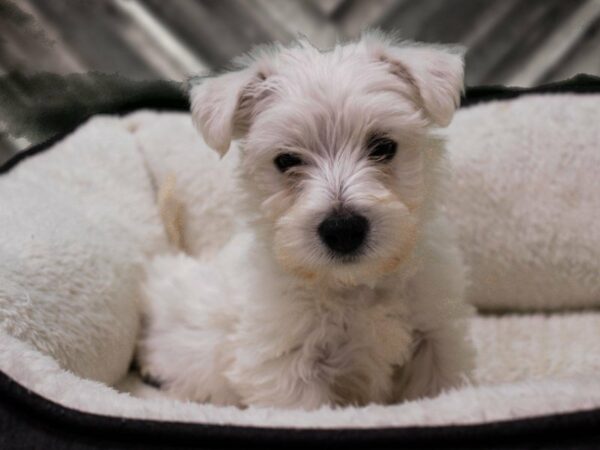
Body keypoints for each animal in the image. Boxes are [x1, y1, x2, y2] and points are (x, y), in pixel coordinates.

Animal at [136, 33, 474, 410]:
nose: (343, 229)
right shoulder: (285, 363)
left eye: (383, 146)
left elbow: (440, 388)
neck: (354, 285)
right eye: (286, 160)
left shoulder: (435, 336)